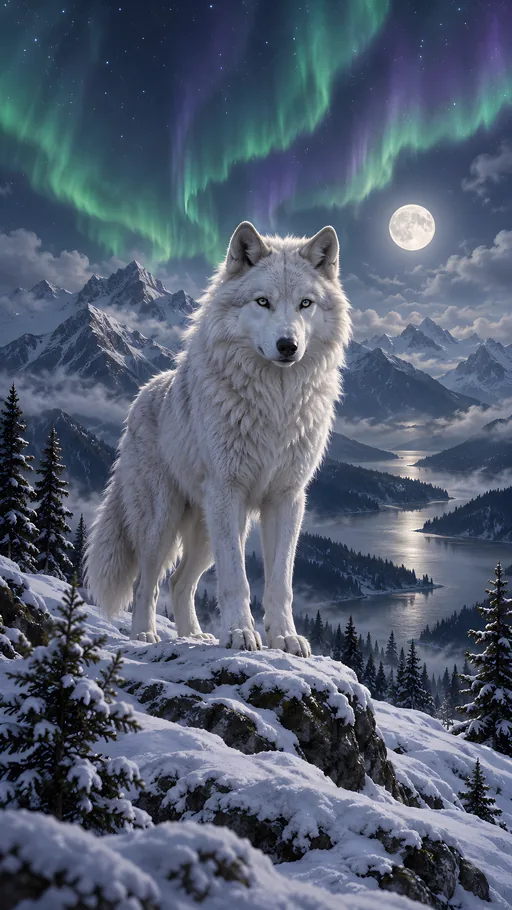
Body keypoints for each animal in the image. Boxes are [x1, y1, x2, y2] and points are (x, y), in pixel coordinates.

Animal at [86, 221, 351, 654]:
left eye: (305, 304)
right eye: (262, 302)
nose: (288, 345)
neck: (276, 403)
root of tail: (141, 395)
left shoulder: (287, 499)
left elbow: (281, 584)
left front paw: (285, 637)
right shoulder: (229, 491)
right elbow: (236, 581)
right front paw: (241, 634)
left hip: (209, 530)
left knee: (180, 583)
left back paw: (194, 635)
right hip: (166, 522)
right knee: (147, 583)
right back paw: (145, 634)